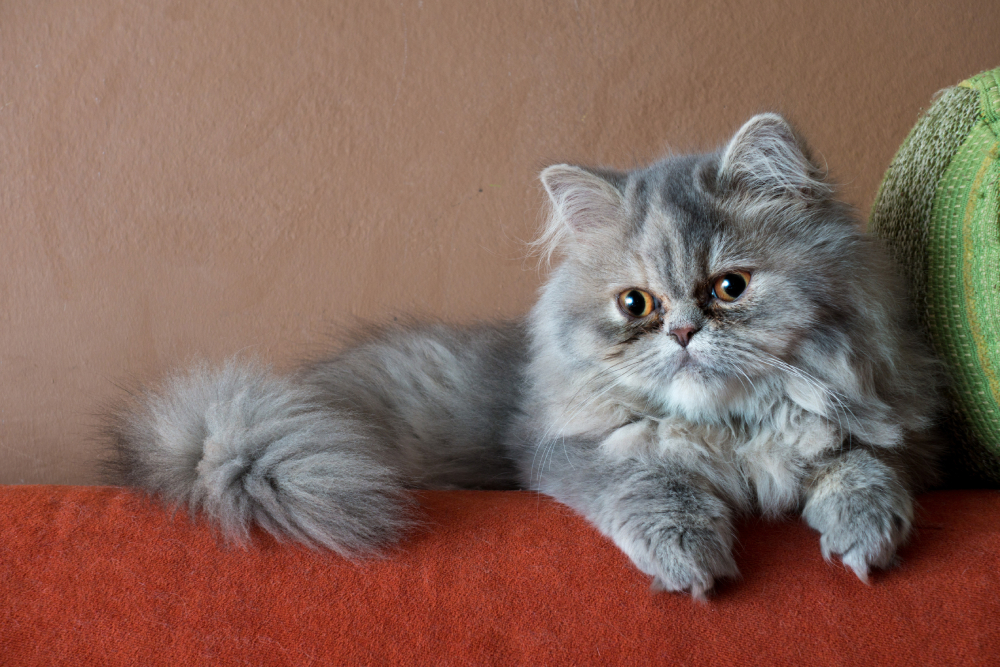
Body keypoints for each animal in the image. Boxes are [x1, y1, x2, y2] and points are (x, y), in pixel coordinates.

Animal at [105, 113, 940, 600]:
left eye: (729, 287)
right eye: (636, 304)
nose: (681, 333)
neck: (730, 429)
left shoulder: (890, 427)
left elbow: (864, 463)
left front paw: (867, 532)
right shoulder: (562, 449)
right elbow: (650, 484)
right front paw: (690, 556)